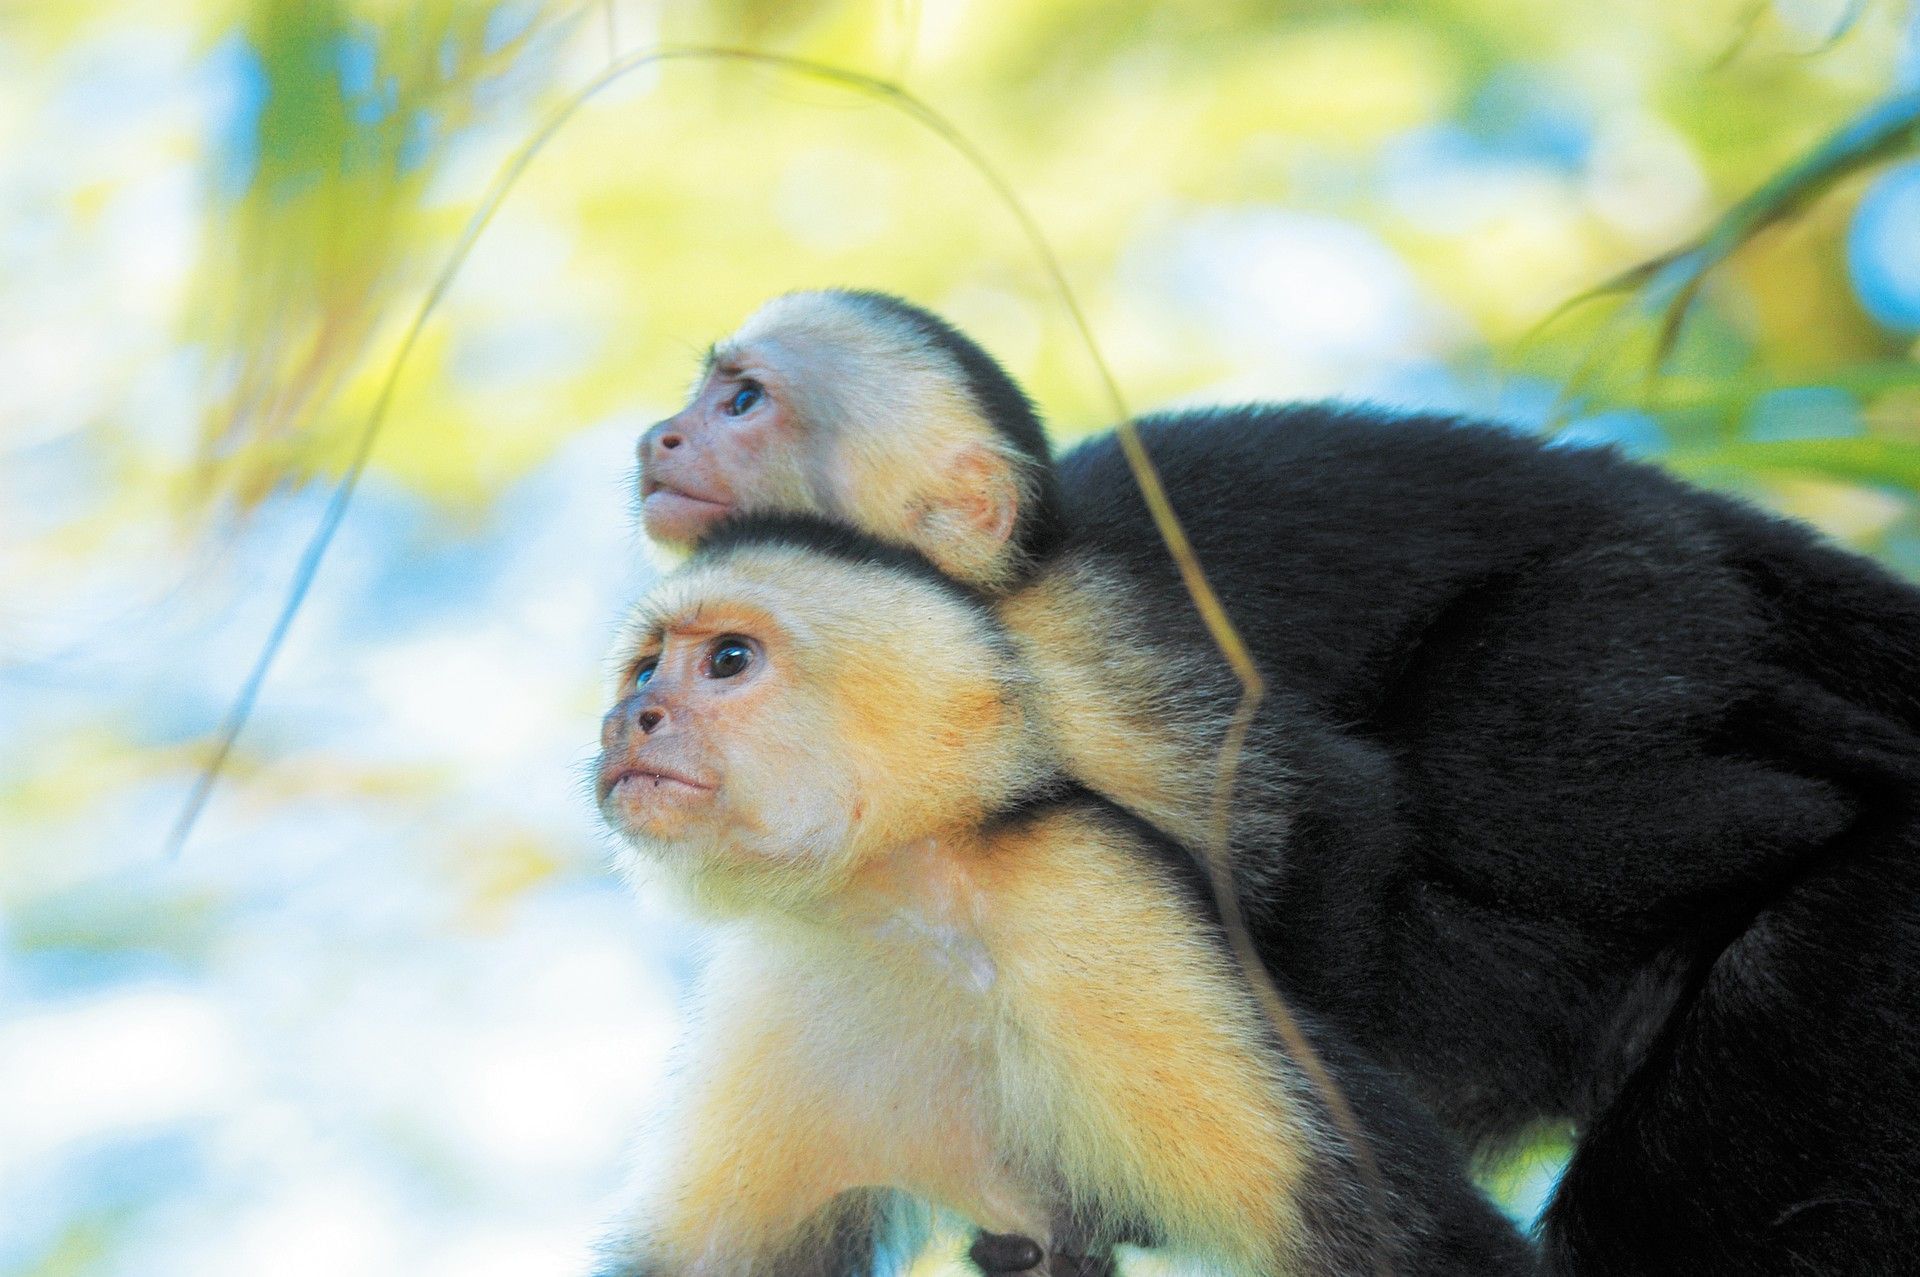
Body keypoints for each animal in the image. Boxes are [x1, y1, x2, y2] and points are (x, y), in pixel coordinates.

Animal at [589, 514, 1533, 1277]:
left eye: (728, 660)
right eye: (643, 670)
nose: (627, 718)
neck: (909, 906)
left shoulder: (1086, 893)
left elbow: (1409, 1241)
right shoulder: (780, 973)